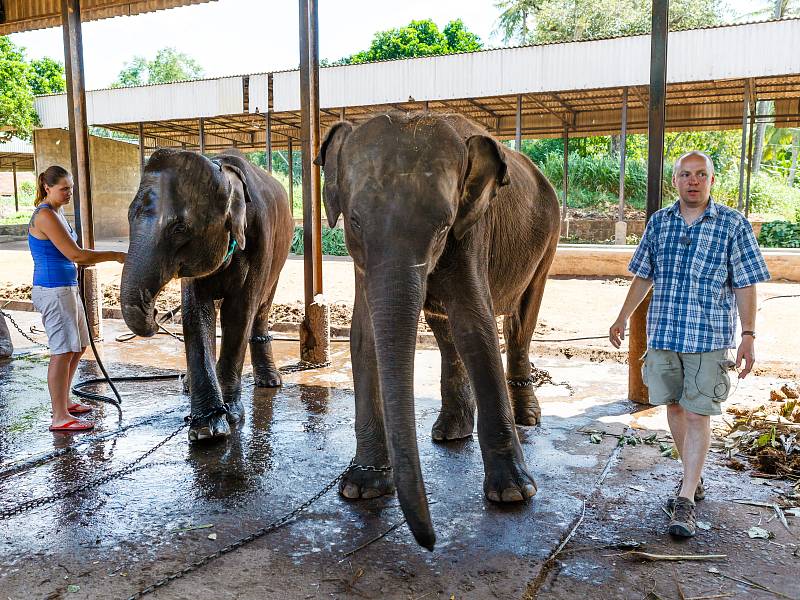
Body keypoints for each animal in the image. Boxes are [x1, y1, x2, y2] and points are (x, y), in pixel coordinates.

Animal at [119, 149, 294, 440]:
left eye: (179, 228)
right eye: (129, 217)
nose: (156, 311)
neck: (222, 170)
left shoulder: (260, 241)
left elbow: (238, 313)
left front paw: (231, 414)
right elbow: (196, 313)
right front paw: (205, 430)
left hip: (279, 259)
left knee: (262, 307)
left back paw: (270, 382)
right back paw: (188, 386)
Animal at [316, 111, 560, 548]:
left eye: (443, 226)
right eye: (355, 222)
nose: (429, 542)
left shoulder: (472, 230)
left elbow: (476, 324)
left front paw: (514, 494)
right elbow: (366, 336)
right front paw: (360, 488)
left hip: (548, 238)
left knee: (522, 318)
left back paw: (527, 418)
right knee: (446, 330)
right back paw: (450, 432)